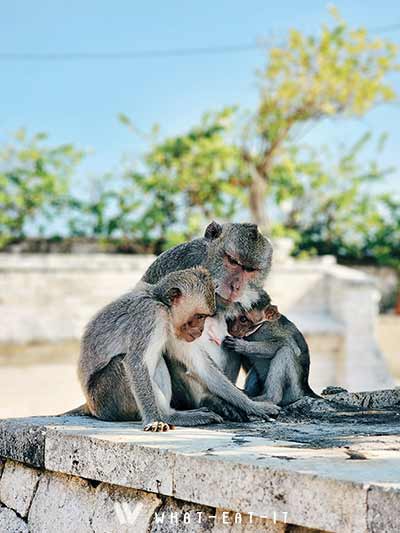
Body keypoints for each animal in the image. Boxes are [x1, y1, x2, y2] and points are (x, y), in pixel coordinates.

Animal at [77, 264, 227, 430]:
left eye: (204, 317)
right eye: (200, 316)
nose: (201, 330)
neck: (162, 304)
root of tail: (91, 406)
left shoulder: (174, 329)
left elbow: (200, 365)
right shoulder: (150, 315)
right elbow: (135, 364)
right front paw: (154, 420)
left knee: (158, 359)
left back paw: (171, 414)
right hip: (104, 401)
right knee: (121, 363)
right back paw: (168, 417)